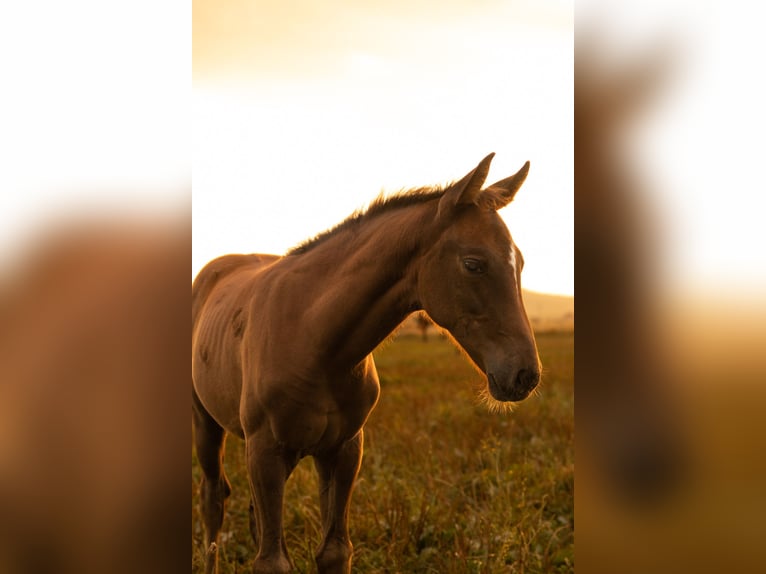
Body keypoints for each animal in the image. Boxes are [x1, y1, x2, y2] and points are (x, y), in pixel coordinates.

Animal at [191, 154, 540, 574]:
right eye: (473, 263)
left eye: (520, 262)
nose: (525, 375)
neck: (313, 342)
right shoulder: (265, 452)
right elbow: (272, 562)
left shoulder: (343, 450)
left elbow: (334, 551)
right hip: (206, 422)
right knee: (213, 499)